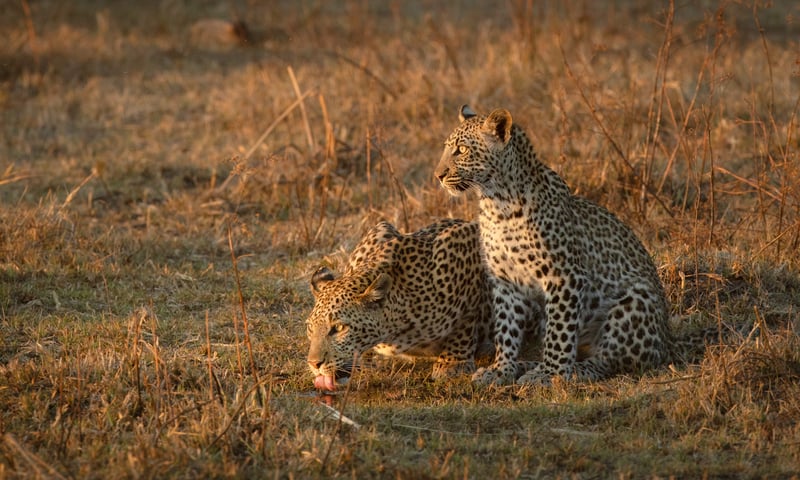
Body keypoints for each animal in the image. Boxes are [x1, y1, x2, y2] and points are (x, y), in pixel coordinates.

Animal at [434, 105, 671, 386]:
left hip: (635, 302)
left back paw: (571, 372)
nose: (438, 175)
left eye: (461, 150)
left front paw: (550, 374)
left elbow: (559, 333)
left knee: (607, 361)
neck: (496, 203)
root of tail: (666, 342)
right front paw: (501, 370)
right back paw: (525, 366)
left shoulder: (564, 276)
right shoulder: (505, 281)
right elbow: (506, 328)